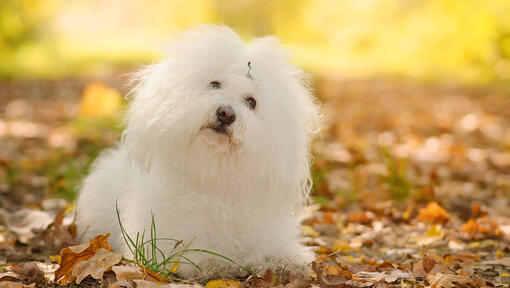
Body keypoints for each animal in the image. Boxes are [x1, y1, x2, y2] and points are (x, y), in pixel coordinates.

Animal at [75, 25, 320, 280]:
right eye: (214, 84)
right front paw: (221, 264)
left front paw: (288, 263)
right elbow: (200, 259)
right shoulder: (163, 245)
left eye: (251, 102)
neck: (210, 174)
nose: (226, 114)